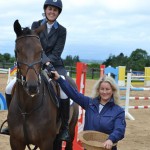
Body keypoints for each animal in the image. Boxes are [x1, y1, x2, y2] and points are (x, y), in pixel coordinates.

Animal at [7, 20, 78, 150]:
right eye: (17, 51)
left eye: (40, 51)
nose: (32, 87)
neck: (27, 108)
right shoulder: (15, 142)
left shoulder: (46, 142)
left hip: (70, 131)